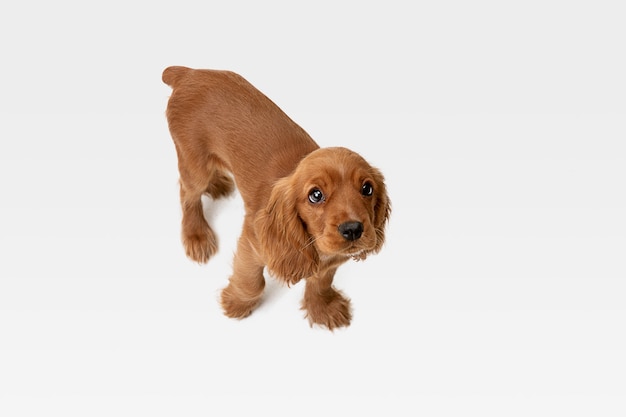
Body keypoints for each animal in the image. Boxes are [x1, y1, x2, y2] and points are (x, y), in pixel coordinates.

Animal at [161, 66, 388, 330]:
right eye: (316, 195)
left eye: (367, 189)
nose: (353, 229)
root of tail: (188, 73)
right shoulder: (252, 242)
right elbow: (251, 280)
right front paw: (236, 304)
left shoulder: (333, 257)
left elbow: (322, 280)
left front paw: (323, 308)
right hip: (194, 162)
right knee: (188, 194)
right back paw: (196, 236)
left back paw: (217, 185)